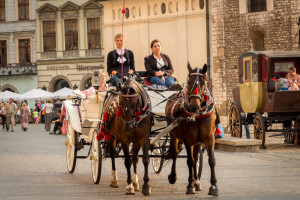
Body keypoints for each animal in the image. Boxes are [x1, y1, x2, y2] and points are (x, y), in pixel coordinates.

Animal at [165, 63, 219, 196]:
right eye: (189, 82)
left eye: (203, 83)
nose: (194, 106)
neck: (197, 115)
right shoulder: (188, 140)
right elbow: (189, 161)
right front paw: (189, 186)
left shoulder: (209, 138)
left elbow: (211, 160)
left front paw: (213, 186)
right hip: (173, 135)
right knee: (175, 154)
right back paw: (173, 176)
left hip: (198, 142)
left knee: (196, 157)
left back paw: (197, 182)